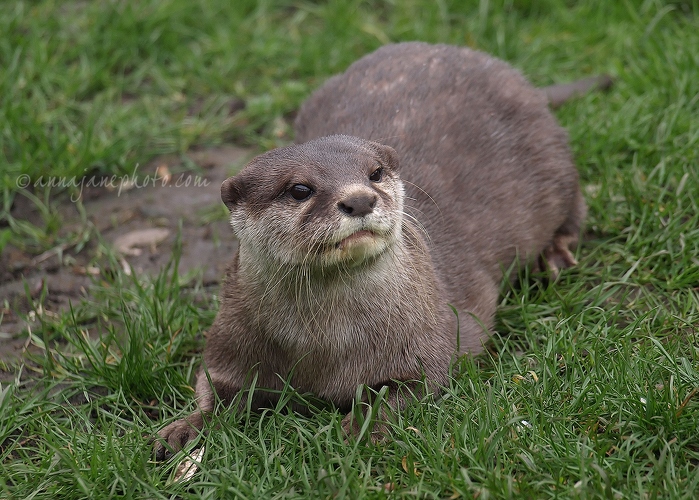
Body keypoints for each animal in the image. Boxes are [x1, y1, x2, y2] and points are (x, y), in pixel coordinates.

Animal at [154, 42, 596, 458]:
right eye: (299, 189)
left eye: (375, 173)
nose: (359, 199)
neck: (325, 348)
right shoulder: (231, 339)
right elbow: (211, 388)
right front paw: (182, 430)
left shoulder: (428, 344)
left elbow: (402, 390)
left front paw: (359, 428)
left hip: (556, 166)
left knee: (576, 208)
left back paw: (553, 257)